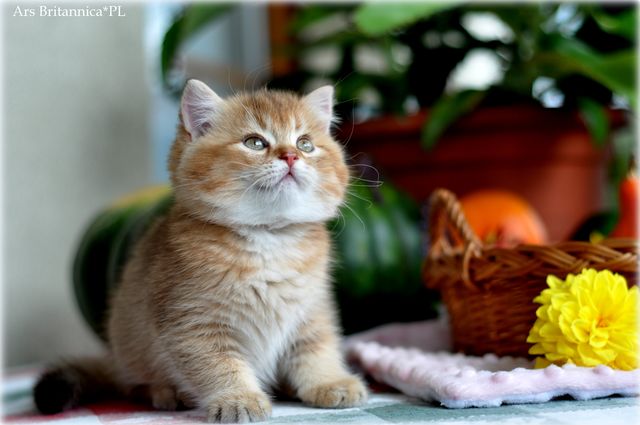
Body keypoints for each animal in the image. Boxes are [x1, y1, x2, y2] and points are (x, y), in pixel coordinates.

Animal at [34, 80, 368, 423]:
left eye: (305, 144)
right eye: (255, 142)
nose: (290, 156)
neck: (269, 240)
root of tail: (112, 360)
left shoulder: (311, 311)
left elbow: (316, 349)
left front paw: (330, 382)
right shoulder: (193, 321)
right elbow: (218, 365)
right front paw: (238, 398)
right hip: (129, 344)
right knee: (133, 385)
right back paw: (166, 392)